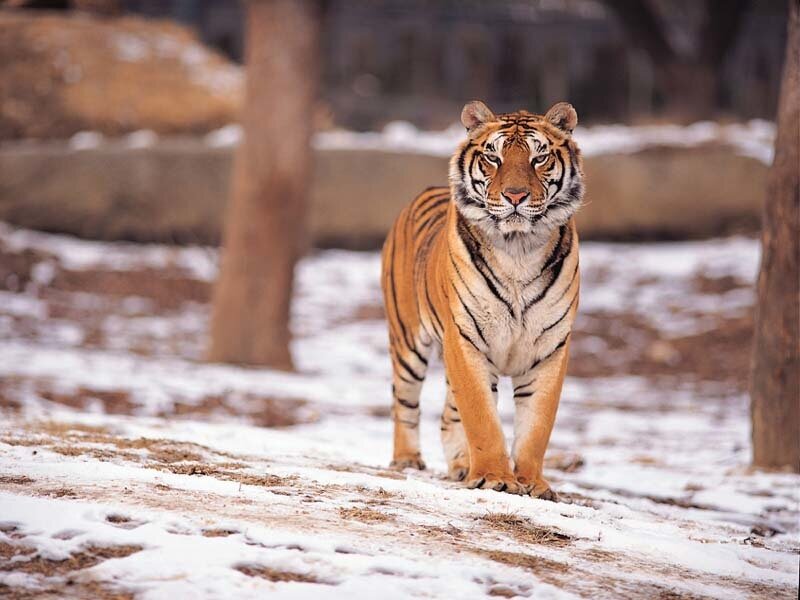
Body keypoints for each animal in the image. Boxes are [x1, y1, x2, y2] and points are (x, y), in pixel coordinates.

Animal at [381, 100, 584, 499]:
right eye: (494, 157)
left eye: (539, 158)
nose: (516, 196)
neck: (519, 248)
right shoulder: (465, 340)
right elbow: (482, 417)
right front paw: (494, 478)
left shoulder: (550, 348)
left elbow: (537, 425)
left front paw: (533, 484)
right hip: (407, 341)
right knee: (404, 403)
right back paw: (407, 459)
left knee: (447, 416)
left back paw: (461, 466)